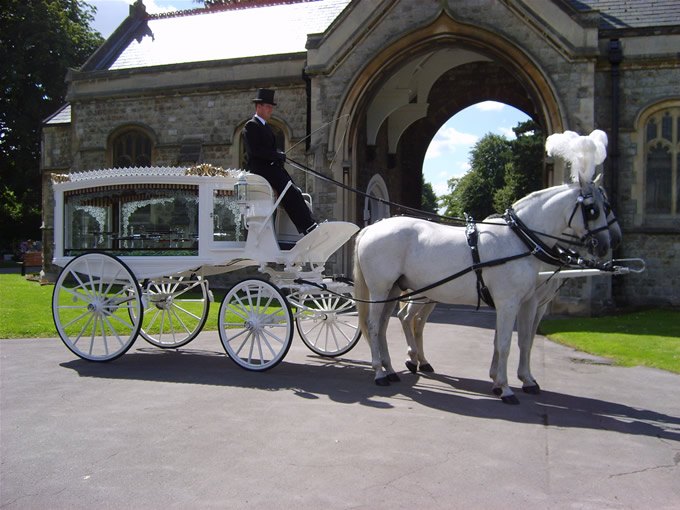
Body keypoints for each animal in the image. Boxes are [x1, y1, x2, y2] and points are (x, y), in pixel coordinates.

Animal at [356, 130, 612, 402]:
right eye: (593, 209)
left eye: (606, 206)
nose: (607, 244)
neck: (519, 239)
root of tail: (373, 227)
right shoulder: (509, 302)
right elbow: (506, 344)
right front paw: (507, 388)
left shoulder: (524, 302)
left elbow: (517, 341)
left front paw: (512, 381)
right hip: (381, 289)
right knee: (374, 325)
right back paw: (379, 373)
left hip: (394, 290)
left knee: (384, 326)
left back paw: (390, 368)